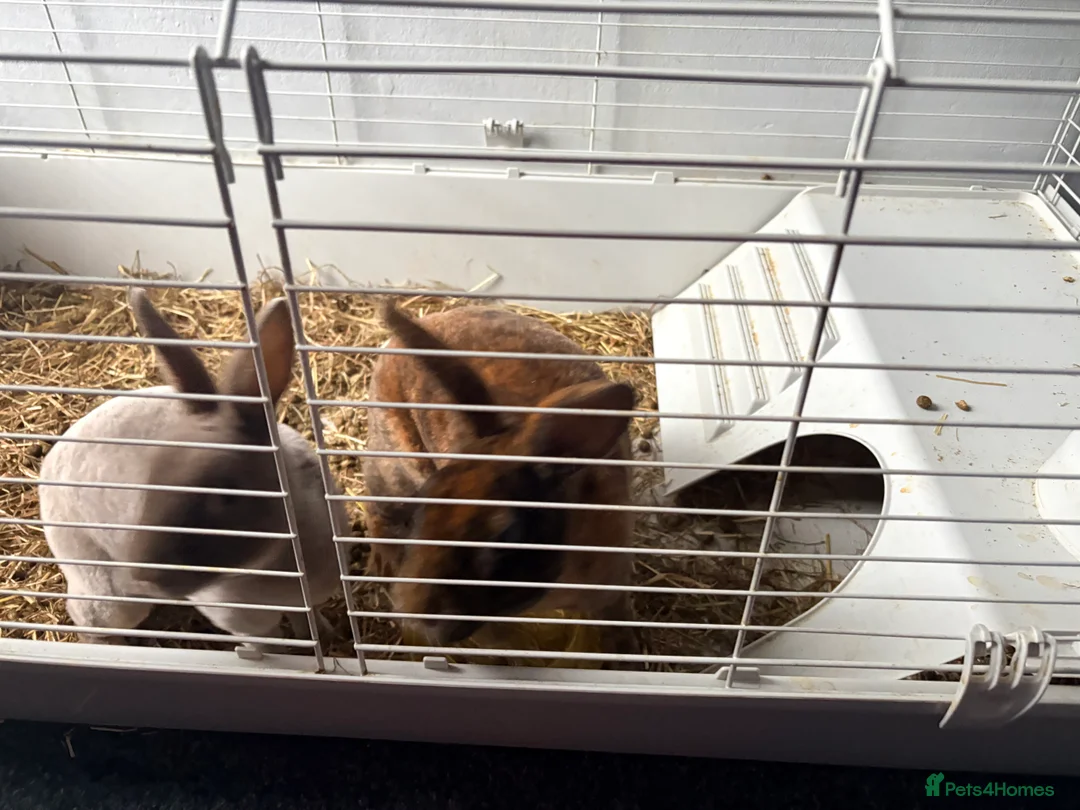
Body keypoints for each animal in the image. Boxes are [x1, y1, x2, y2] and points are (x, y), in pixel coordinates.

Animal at [37, 288, 345, 653]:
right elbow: (267, 646)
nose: (143, 575)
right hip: (109, 595)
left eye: (227, 495)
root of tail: (47, 468)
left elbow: (308, 620)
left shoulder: (308, 598)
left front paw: (327, 637)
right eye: (151, 482)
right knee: (86, 617)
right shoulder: (246, 622)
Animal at [362, 301, 640, 664]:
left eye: (505, 533)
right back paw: (382, 563)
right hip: (395, 469)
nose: (416, 615)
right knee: (376, 508)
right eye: (425, 509)